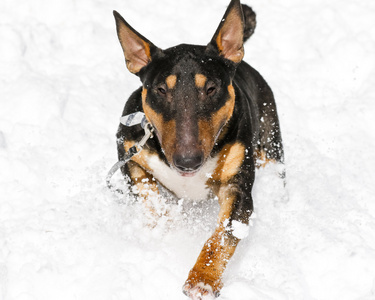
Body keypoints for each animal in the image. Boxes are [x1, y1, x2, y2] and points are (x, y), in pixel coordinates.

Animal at [113, 0, 284, 298]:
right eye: (160, 89)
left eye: (212, 88)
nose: (187, 161)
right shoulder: (128, 151)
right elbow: (149, 194)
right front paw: (167, 227)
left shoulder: (238, 189)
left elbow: (222, 236)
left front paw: (202, 280)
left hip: (271, 141)